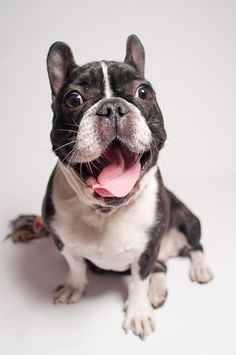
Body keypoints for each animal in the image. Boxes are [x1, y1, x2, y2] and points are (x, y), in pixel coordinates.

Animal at [42, 34, 214, 340]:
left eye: (143, 92)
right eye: (73, 99)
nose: (112, 107)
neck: (105, 212)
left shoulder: (146, 251)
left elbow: (138, 282)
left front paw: (138, 312)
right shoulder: (62, 241)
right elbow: (75, 265)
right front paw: (74, 286)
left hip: (188, 220)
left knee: (195, 246)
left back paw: (200, 269)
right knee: (161, 267)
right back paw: (158, 291)